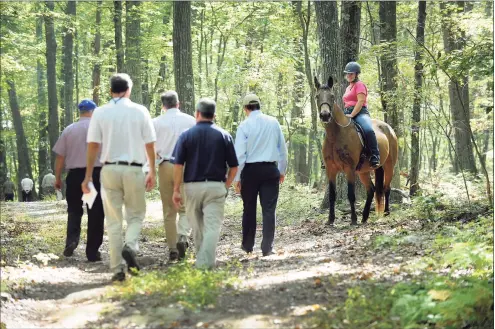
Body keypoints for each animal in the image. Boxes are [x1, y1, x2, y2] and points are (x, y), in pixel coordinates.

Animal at [318, 76, 400, 226]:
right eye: (317, 96)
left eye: (332, 96)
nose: (325, 115)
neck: (336, 134)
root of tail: (389, 129)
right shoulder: (330, 169)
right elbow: (332, 195)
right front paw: (330, 220)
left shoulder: (349, 169)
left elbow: (351, 195)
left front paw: (353, 219)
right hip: (364, 171)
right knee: (371, 189)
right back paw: (365, 216)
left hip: (389, 165)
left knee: (387, 188)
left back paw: (386, 212)